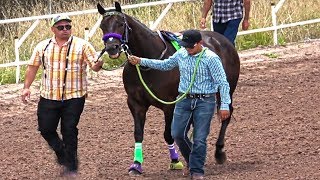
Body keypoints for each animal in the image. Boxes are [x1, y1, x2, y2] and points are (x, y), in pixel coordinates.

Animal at [97, 2, 240, 175]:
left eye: (120, 23)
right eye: (102, 26)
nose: (112, 47)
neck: (149, 62)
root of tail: (222, 40)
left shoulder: (170, 105)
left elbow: (168, 134)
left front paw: (175, 160)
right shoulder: (135, 103)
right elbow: (138, 134)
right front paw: (136, 165)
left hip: (226, 90)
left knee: (226, 114)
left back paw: (219, 152)